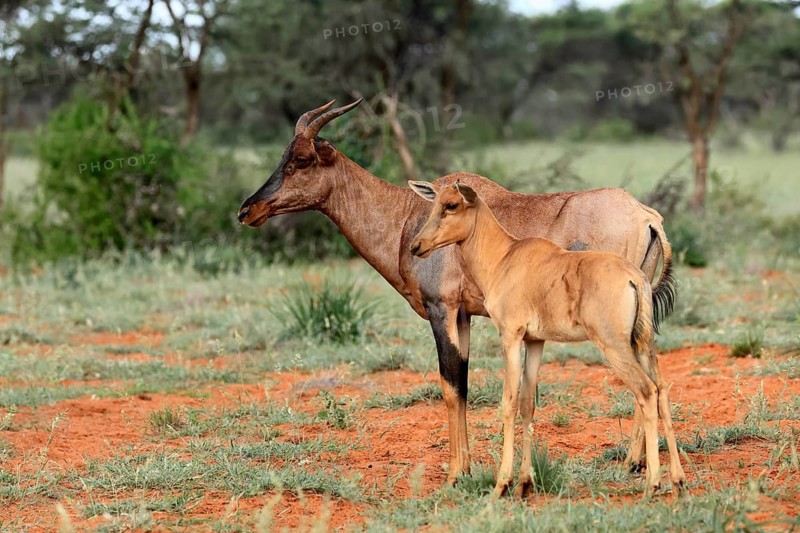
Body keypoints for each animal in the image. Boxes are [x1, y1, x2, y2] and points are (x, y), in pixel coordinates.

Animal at [408, 180, 687, 498]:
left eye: (452, 205)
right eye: (434, 204)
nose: (416, 246)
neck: (506, 255)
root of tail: (634, 278)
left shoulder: (511, 336)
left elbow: (509, 403)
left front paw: (501, 485)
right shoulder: (535, 341)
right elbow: (528, 403)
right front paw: (523, 484)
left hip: (615, 347)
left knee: (646, 391)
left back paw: (652, 483)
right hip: (642, 344)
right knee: (662, 389)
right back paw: (677, 479)